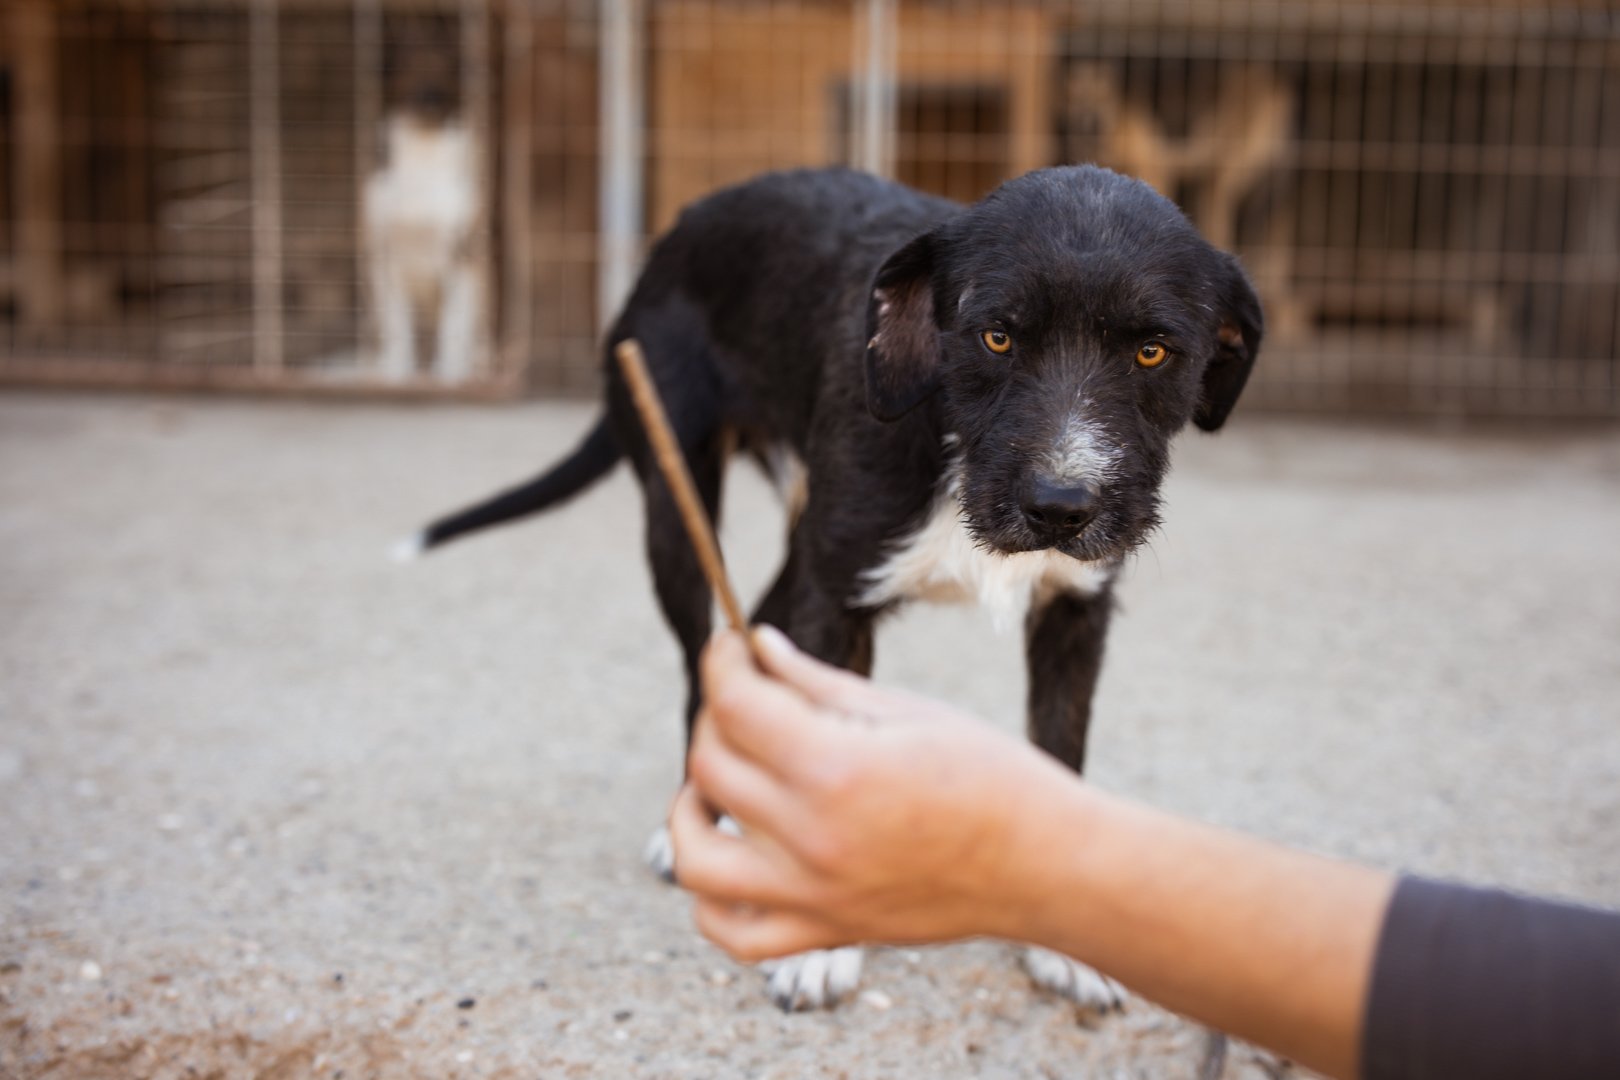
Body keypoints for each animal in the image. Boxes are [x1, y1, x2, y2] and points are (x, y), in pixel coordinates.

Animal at [401, 165, 1262, 1012]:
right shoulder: (836, 598)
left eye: (1152, 352)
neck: (947, 430)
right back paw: (696, 824)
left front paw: (1066, 945)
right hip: (678, 506)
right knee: (707, 660)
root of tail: (677, 230)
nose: (1060, 505)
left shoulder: (1075, 609)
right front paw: (818, 944)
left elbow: (1060, 755)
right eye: (997, 336)